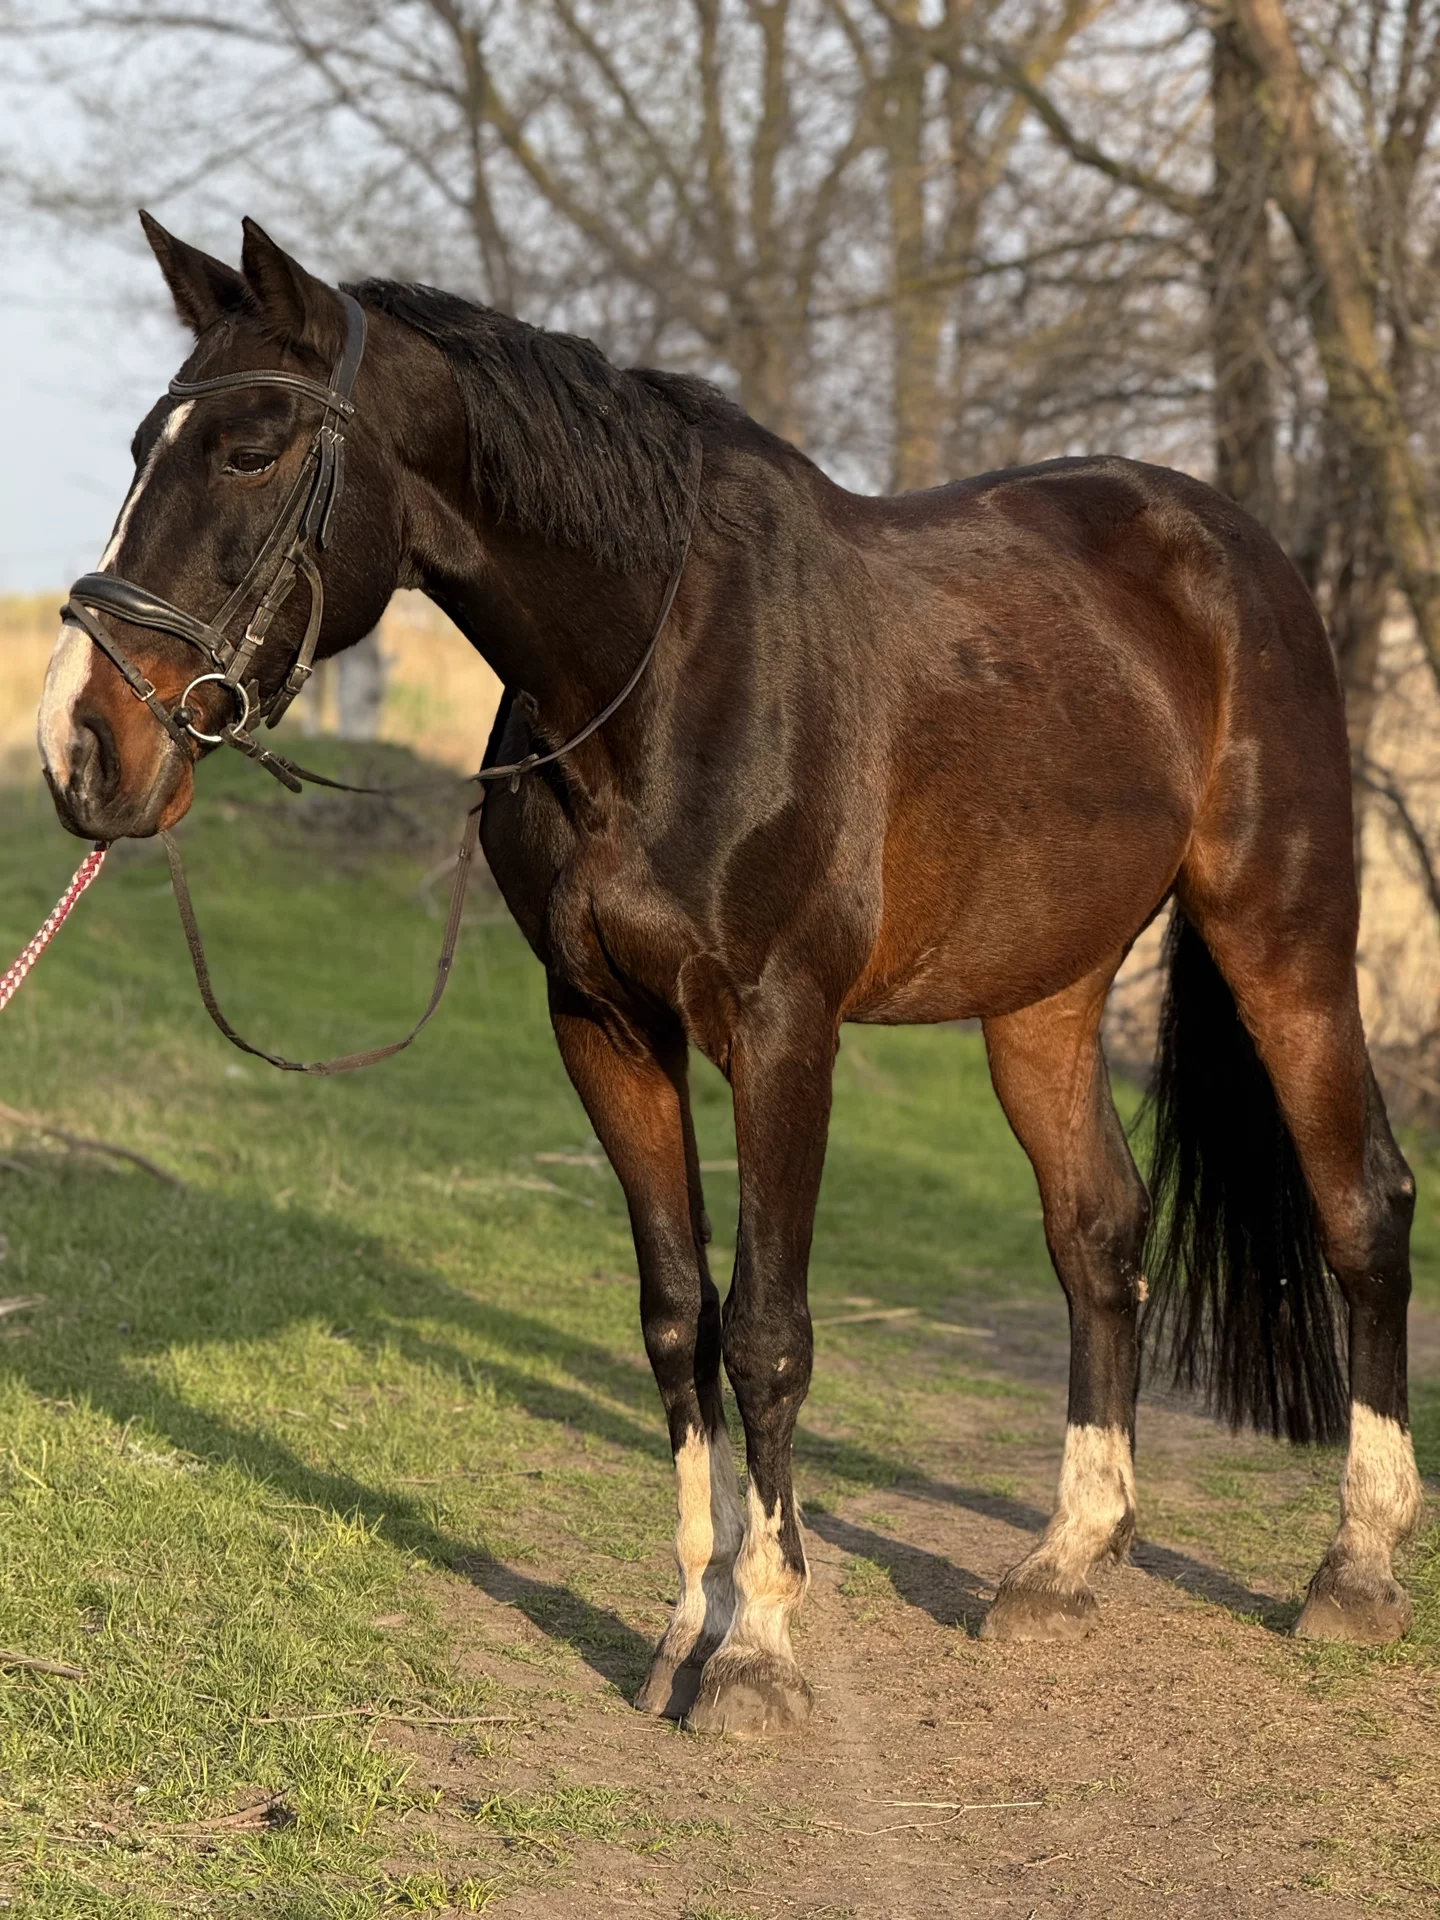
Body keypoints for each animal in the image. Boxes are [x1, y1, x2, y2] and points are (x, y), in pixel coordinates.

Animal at [38, 215, 1423, 1738]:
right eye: (139, 450)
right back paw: (1065, 1564)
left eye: (250, 451)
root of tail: (1236, 550)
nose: (81, 744)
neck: (661, 675)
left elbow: (765, 1329)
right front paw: (684, 1622)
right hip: (1042, 995)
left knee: (1363, 1207)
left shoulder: (781, 1031)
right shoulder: (602, 1027)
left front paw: (759, 1645)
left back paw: (1355, 1570)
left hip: (1284, 938)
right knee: (1098, 1234)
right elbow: (673, 1319)